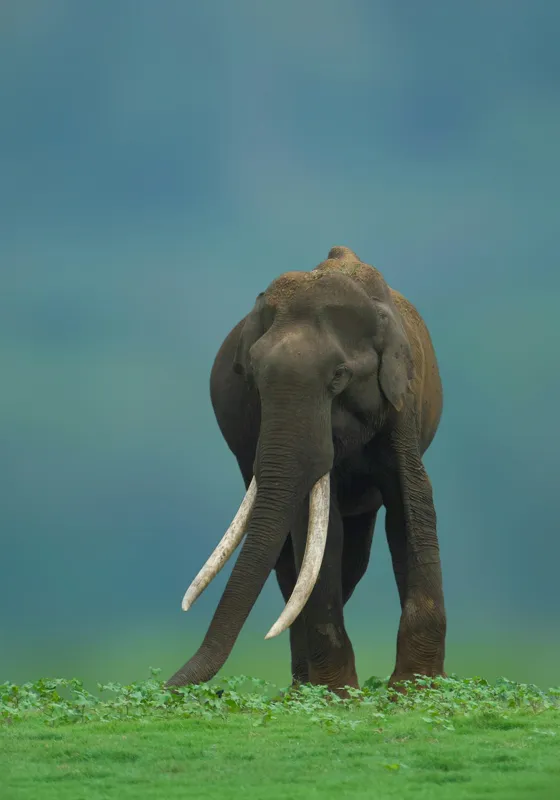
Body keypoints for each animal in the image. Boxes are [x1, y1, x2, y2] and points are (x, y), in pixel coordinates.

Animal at [166, 246, 447, 697]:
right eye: (251, 376)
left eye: (339, 376)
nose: (166, 688)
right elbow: (314, 530)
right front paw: (337, 696)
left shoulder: (402, 401)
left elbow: (412, 502)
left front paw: (414, 689)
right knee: (293, 563)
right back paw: (302, 687)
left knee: (355, 556)